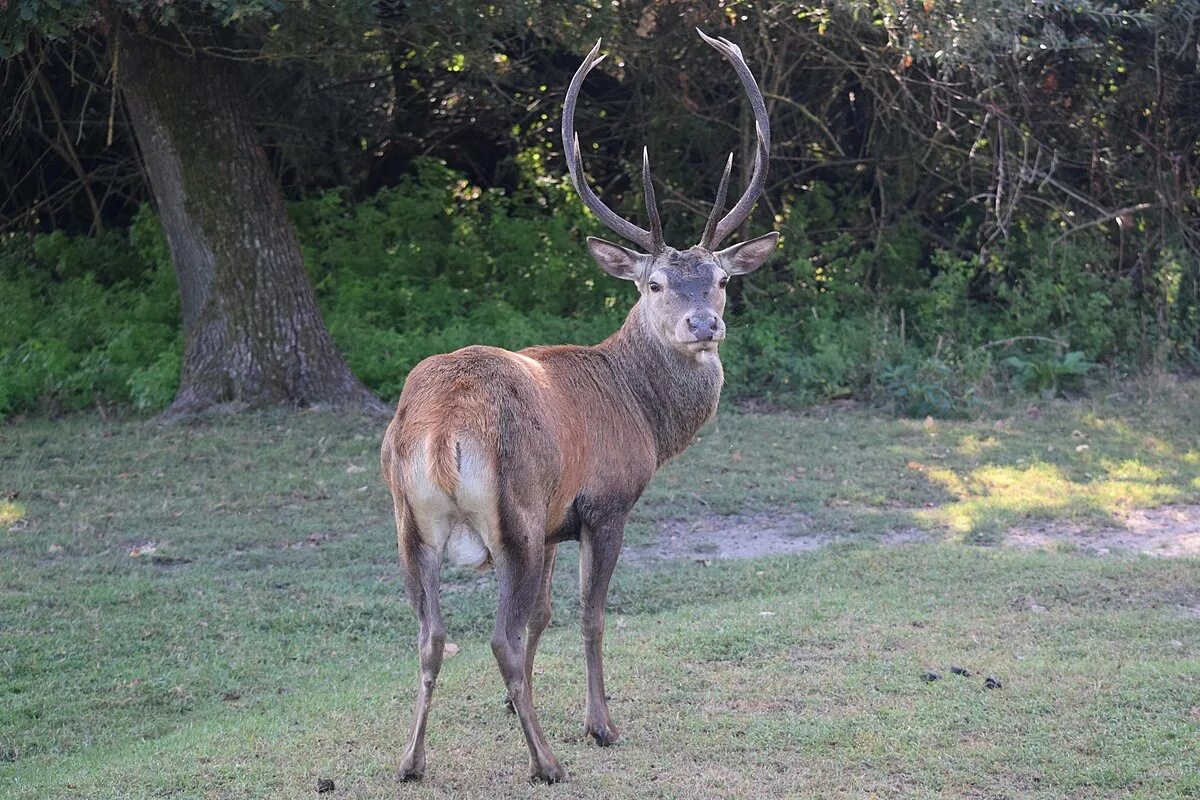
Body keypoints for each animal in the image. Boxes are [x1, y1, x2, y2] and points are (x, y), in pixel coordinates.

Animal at [384, 29, 777, 782]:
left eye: (719, 279)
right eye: (654, 284)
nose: (703, 326)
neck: (641, 413)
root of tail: (441, 431)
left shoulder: (554, 526)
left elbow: (544, 617)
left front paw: (520, 707)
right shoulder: (604, 502)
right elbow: (590, 614)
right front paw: (599, 724)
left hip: (410, 525)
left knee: (430, 636)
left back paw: (412, 761)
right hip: (511, 515)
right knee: (496, 638)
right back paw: (547, 763)